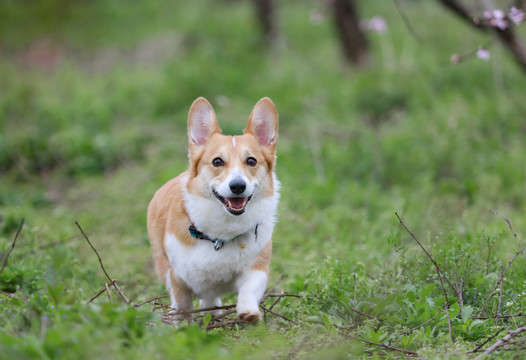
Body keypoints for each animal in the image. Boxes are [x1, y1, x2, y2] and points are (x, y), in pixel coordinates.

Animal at [148, 97, 280, 322]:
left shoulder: (257, 266)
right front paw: (182, 323)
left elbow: (250, 287)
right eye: (217, 162)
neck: (223, 231)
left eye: (251, 161)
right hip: (161, 263)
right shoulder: (177, 275)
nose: (238, 186)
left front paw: (249, 312)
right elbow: (183, 304)